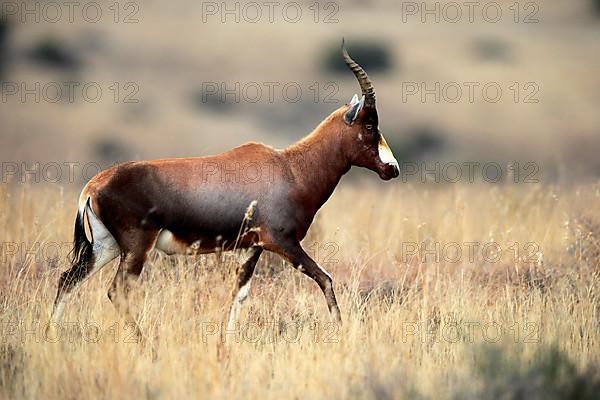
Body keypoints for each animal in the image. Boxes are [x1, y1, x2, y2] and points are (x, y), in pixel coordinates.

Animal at [50, 39, 398, 340]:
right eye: (369, 125)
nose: (392, 169)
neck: (289, 167)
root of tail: (92, 186)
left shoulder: (252, 247)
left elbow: (238, 295)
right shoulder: (283, 243)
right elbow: (325, 278)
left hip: (106, 246)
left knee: (68, 278)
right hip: (137, 247)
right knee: (117, 291)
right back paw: (147, 343)